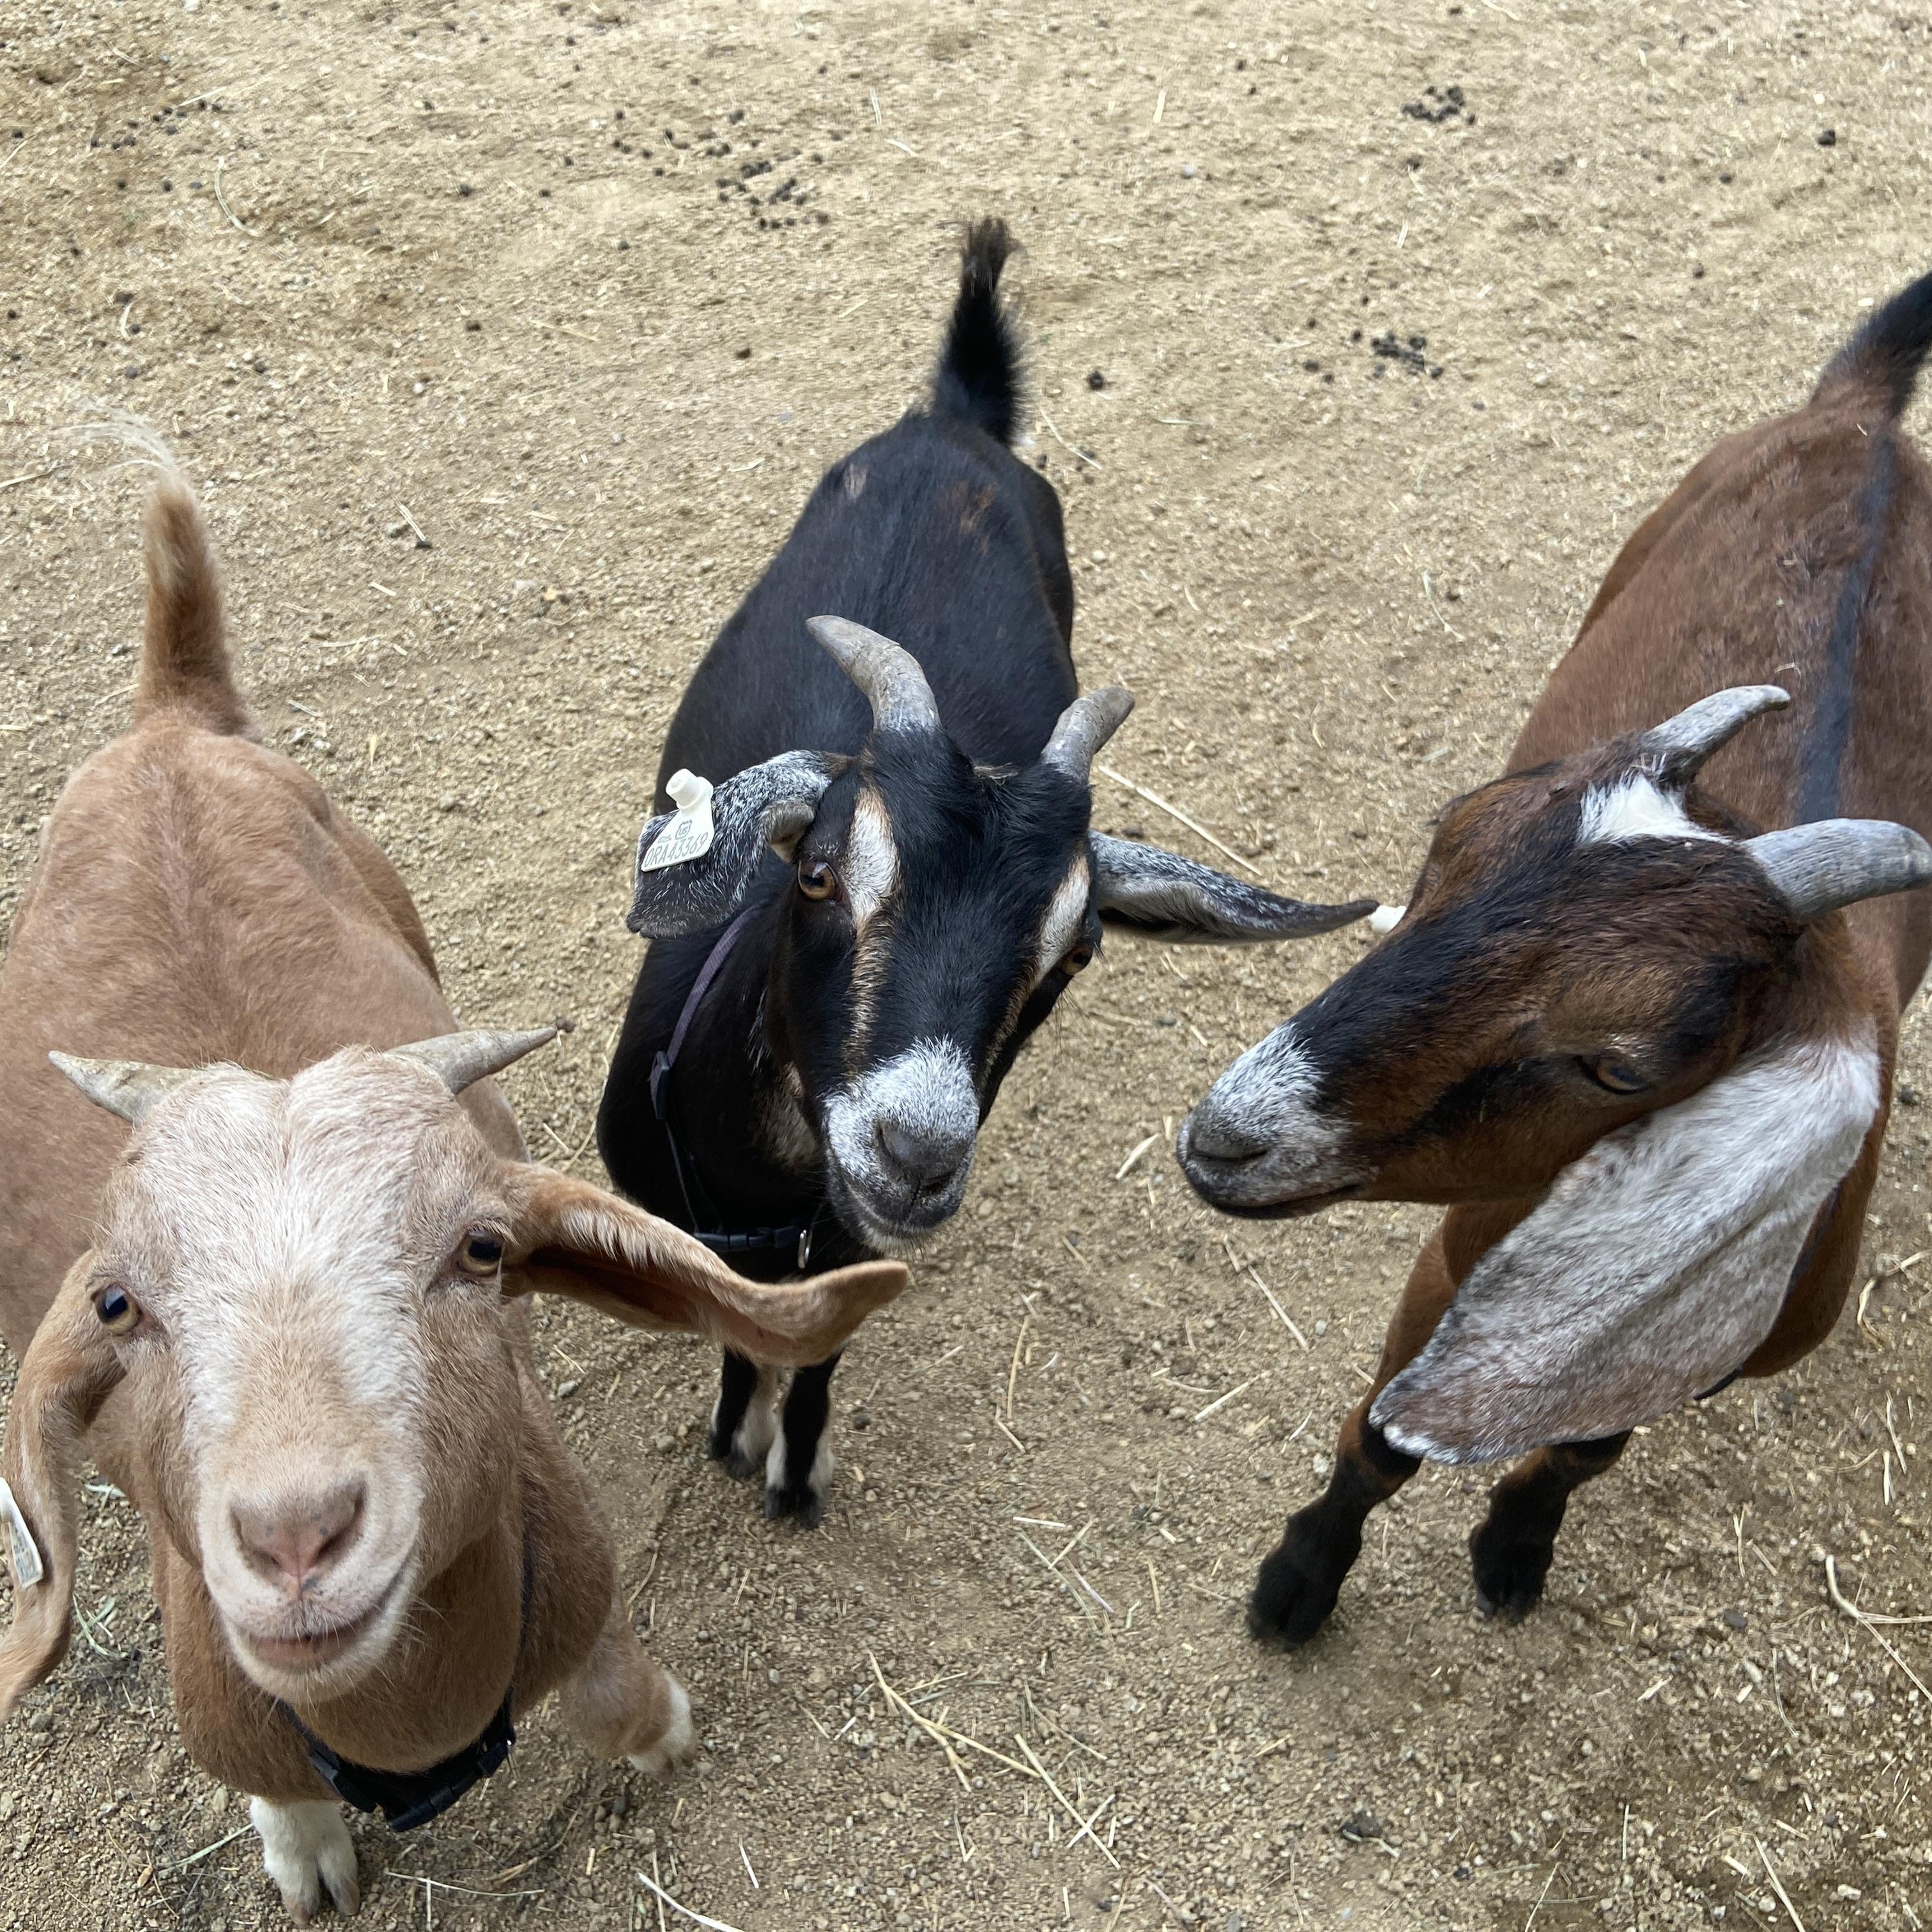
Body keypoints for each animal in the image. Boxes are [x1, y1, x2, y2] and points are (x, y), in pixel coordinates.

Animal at [0, 459, 905, 1921]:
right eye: (120, 1304)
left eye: (481, 1250)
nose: (296, 1536)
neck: (410, 1723)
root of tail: (169, 719)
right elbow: (281, 1793)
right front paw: (305, 1854)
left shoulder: (581, 1585)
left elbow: (611, 1699)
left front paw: (662, 1731)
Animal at [597, 218, 1372, 1527]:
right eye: (816, 872)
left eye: (1079, 950)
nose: (915, 1153)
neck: (771, 1201)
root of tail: (956, 418)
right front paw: (730, 1432)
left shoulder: (852, 1252)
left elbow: (815, 1353)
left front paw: (790, 1467)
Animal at [1179, 270, 1932, 1646]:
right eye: (1445, 841)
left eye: (1622, 1063)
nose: (1230, 1137)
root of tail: (1859, 421)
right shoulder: (1446, 1266)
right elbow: (1378, 1440)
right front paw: (1300, 1577)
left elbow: (1585, 1450)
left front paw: (1516, 1540)